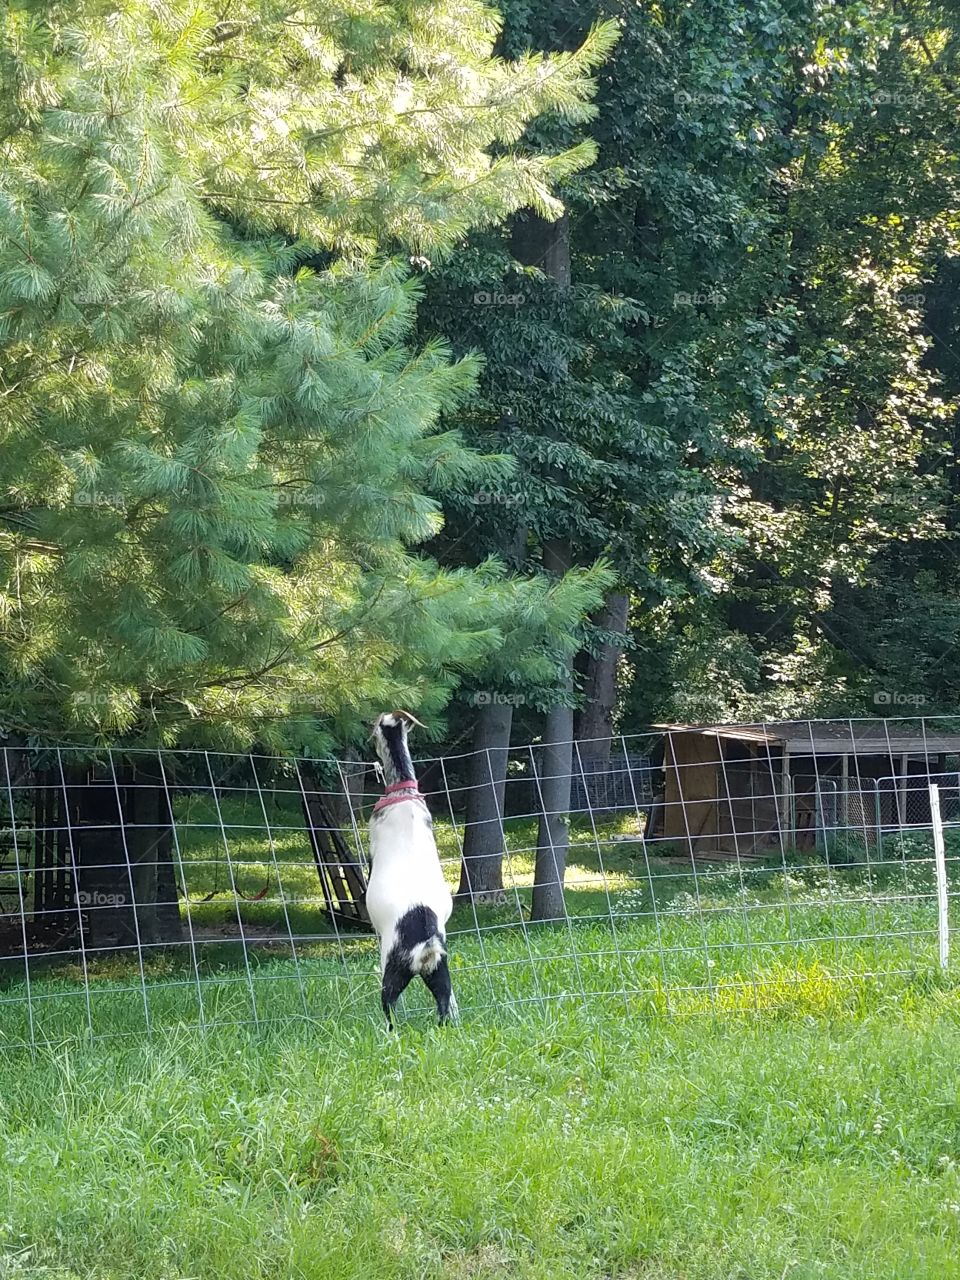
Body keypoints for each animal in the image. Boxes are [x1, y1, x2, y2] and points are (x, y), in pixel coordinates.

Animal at [366, 711, 457, 1028]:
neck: (403, 791)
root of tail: (426, 944)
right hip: (440, 973)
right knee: (445, 1004)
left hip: (392, 972)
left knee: (390, 1007)